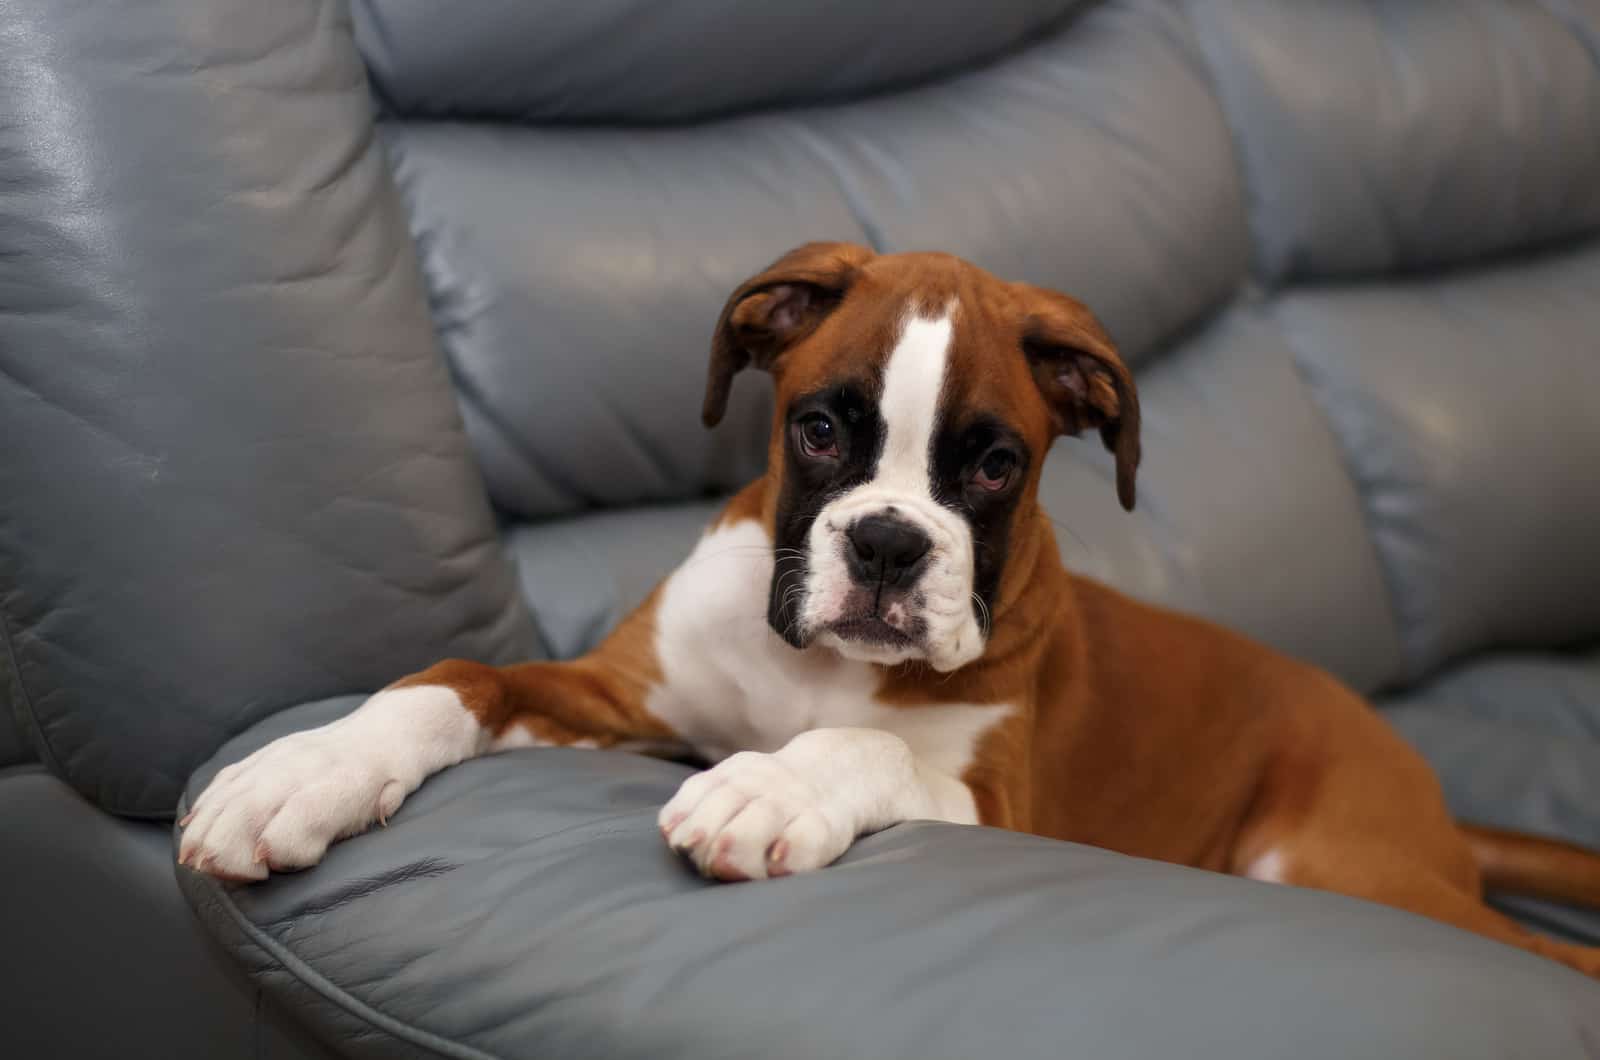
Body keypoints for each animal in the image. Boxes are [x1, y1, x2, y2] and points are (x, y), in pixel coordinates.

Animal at [181, 244, 1600, 986]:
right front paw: (306, 769)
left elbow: (859, 744)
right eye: (819, 427)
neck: (812, 666)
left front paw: (769, 787)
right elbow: (456, 676)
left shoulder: (996, 800)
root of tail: (1417, 779)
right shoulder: (610, 698)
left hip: (1333, 865)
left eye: (995, 464)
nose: (883, 543)